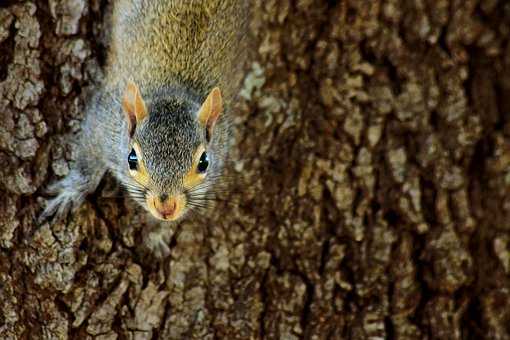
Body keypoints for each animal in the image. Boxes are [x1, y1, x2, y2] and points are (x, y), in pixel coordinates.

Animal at [40, 0, 248, 255]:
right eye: (131, 159)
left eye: (204, 162)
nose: (166, 208)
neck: (173, 90)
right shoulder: (103, 123)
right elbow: (86, 164)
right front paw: (69, 194)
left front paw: (157, 232)